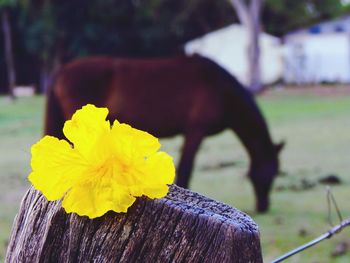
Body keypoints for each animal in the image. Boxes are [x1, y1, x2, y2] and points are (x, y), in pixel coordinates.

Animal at [44, 54, 284, 213]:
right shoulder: (195, 131)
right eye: (271, 173)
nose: (263, 207)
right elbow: (186, 168)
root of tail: (62, 71)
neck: (221, 89)